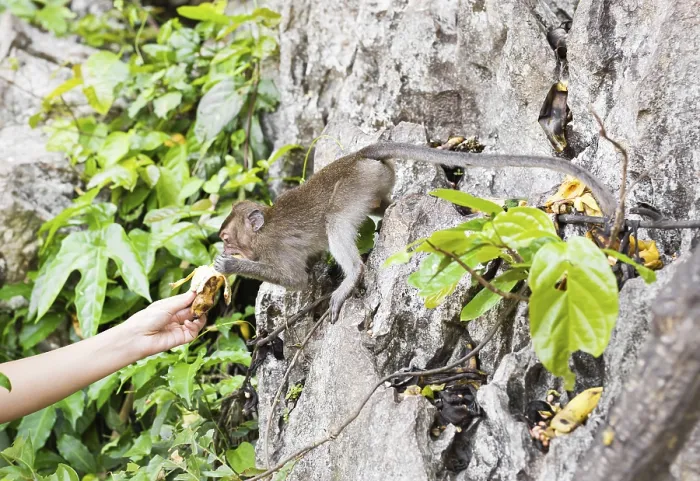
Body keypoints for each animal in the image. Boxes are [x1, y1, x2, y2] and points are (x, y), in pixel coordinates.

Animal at [214, 142, 617, 323]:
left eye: (227, 240)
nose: (228, 250)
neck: (261, 232)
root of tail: (361, 156)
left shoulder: (273, 249)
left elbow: (294, 279)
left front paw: (228, 268)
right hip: (374, 184)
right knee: (380, 205)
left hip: (351, 190)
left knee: (335, 223)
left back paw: (351, 277)